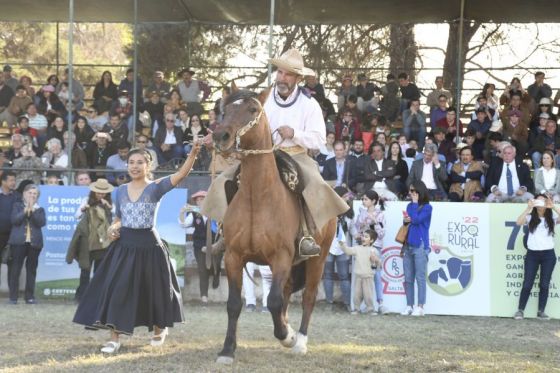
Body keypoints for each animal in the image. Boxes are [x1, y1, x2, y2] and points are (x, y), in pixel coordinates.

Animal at [212, 90, 336, 364]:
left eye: (252, 109)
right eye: (225, 110)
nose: (221, 136)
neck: (257, 196)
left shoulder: (281, 256)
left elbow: (274, 300)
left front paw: (287, 336)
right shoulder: (234, 256)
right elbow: (234, 304)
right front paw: (227, 350)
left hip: (317, 259)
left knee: (308, 297)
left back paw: (299, 340)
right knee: (289, 291)